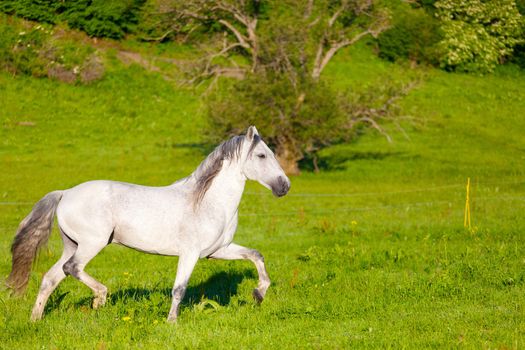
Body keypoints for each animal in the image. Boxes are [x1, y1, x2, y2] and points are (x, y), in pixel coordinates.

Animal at [6, 126, 290, 322]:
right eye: (262, 155)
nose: (284, 186)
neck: (208, 201)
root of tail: (65, 193)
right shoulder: (190, 253)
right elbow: (179, 289)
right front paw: (172, 322)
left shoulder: (218, 250)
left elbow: (256, 255)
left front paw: (259, 294)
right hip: (91, 243)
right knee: (71, 268)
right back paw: (100, 298)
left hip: (72, 244)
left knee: (50, 278)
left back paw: (35, 319)